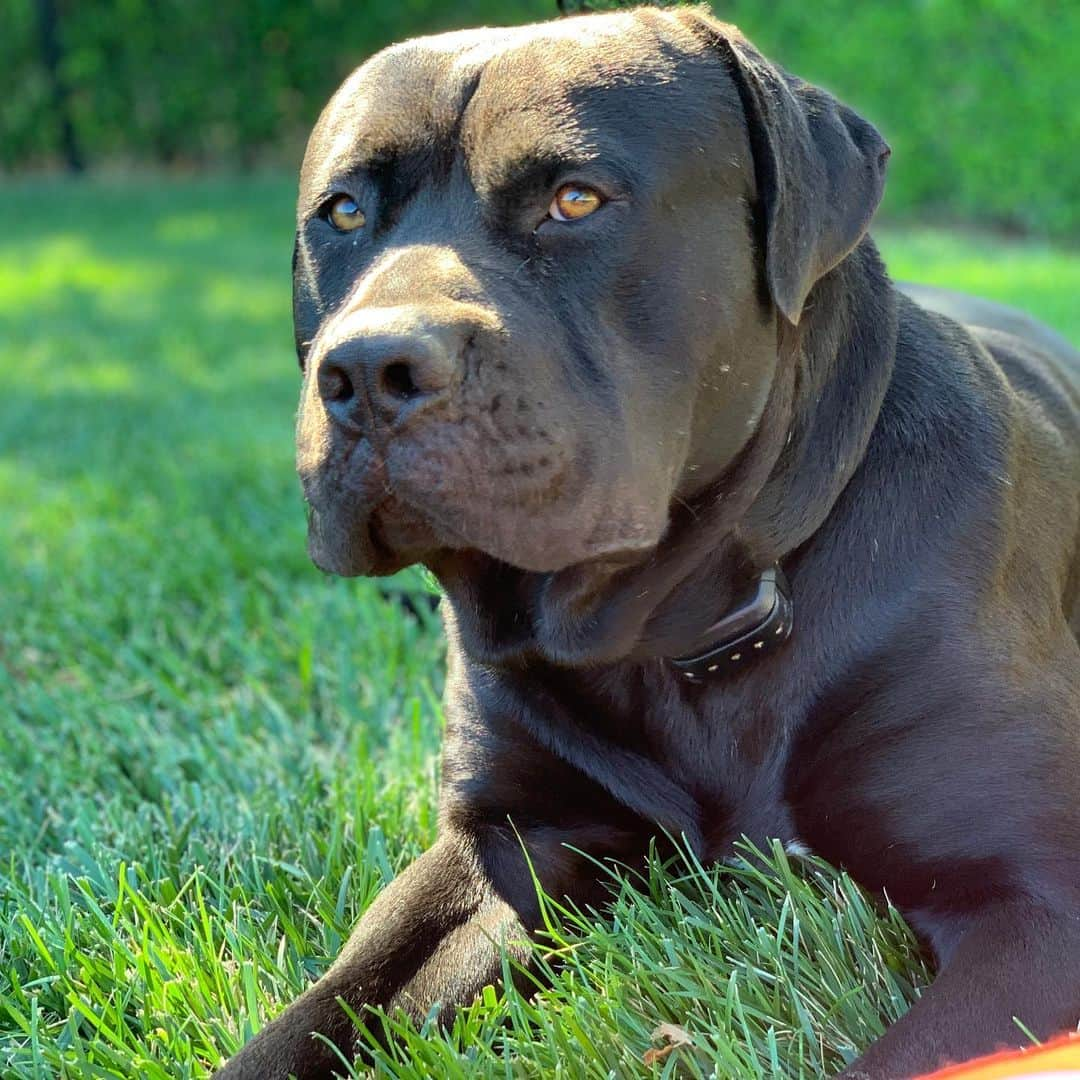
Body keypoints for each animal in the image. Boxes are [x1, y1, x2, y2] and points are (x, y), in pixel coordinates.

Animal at [219, 6, 1080, 1071]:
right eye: (340, 214)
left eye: (575, 200)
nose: (372, 368)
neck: (673, 631)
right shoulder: (504, 844)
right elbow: (319, 1012)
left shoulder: (1035, 900)